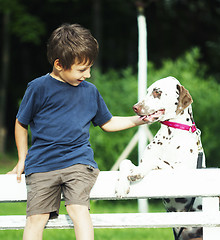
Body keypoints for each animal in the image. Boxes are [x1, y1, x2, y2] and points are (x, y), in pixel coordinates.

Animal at [116, 77, 205, 240]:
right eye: (147, 91)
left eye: (157, 92)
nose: (135, 107)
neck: (170, 134)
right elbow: (125, 162)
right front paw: (121, 186)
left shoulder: (181, 171)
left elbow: (155, 161)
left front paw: (137, 172)